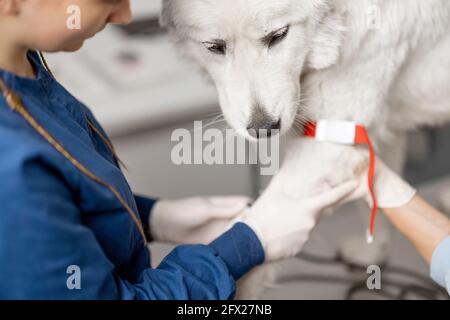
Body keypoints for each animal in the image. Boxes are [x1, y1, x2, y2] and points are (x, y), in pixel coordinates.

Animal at [162, 0, 450, 298]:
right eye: (215, 47)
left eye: (278, 35)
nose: (263, 128)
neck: (340, 21)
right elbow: (376, 197)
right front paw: (374, 252)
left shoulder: (328, 143)